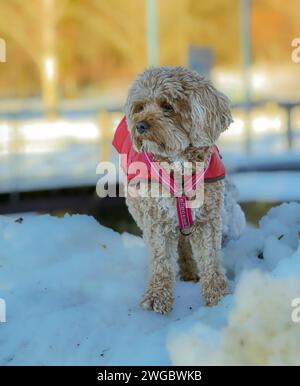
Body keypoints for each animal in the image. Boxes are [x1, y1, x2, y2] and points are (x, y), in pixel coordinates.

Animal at [118, 66, 245, 314]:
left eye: (168, 106)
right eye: (140, 107)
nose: (140, 125)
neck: (179, 165)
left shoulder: (207, 219)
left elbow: (211, 259)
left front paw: (218, 296)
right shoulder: (156, 219)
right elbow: (160, 261)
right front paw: (156, 297)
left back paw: (189, 271)